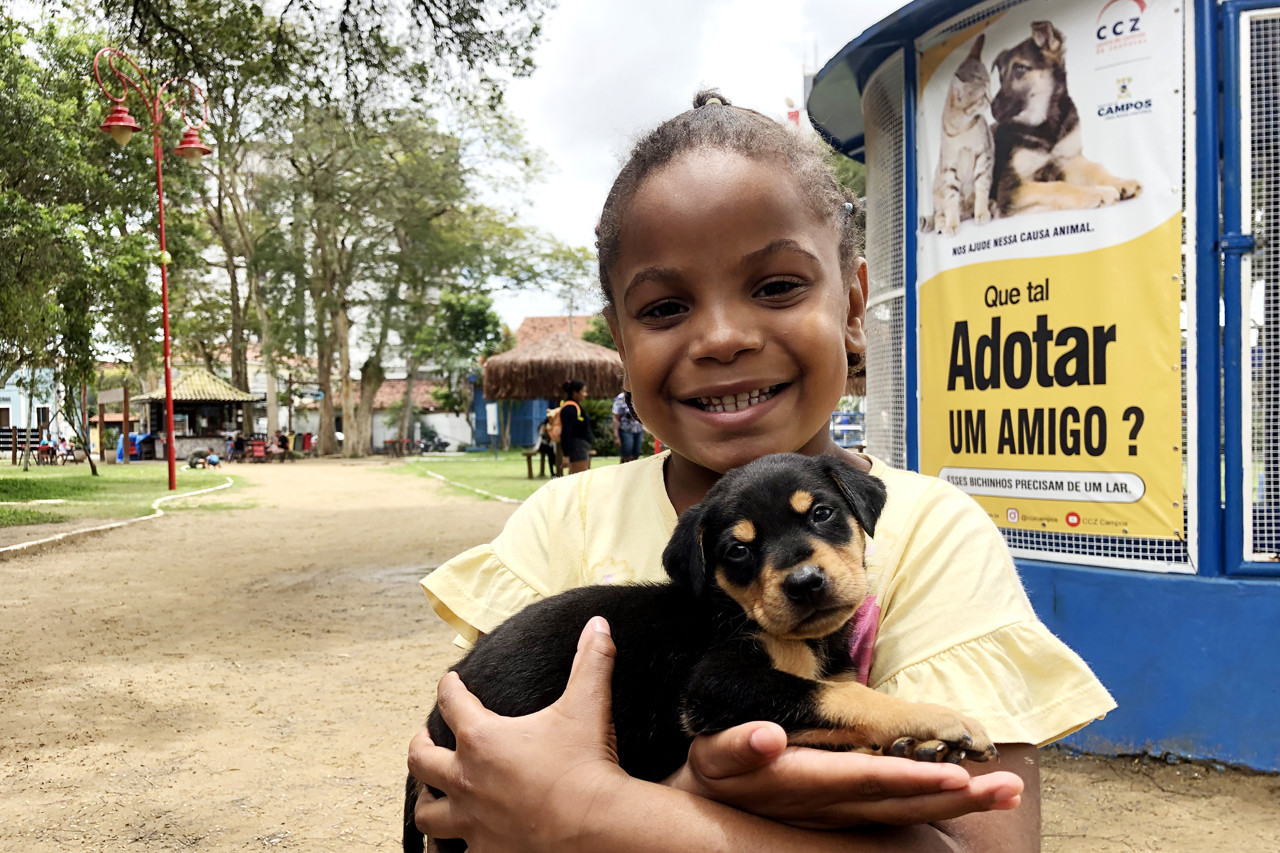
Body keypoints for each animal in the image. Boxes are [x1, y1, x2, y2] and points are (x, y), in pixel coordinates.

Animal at [404, 448, 993, 845]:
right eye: (738, 550)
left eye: (821, 513)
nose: (805, 583)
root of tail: (435, 721)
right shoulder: (714, 688)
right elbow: (842, 698)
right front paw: (938, 718)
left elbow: (835, 707)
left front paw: (909, 746)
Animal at [988, 20, 1141, 216]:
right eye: (1001, 78)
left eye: (1020, 69)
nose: (992, 109)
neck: (1045, 125)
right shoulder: (1010, 188)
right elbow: (1056, 186)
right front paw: (1096, 192)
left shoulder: (1070, 161)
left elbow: (1096, 168)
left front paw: (1119, 182)